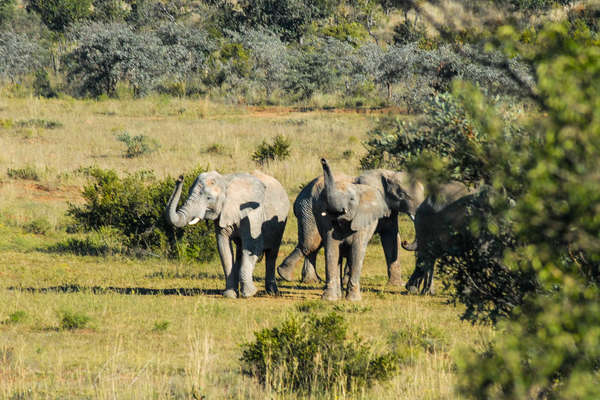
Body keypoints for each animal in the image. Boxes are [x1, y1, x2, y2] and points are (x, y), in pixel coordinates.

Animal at [165, 170, 290, 298]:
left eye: (209, 198)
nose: (180, 178)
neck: (225, 182)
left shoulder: (253, 214)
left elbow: (253, 246)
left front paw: (249, 294)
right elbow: (223, 247)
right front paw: (230, 295)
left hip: (280, 223)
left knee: (271, 254)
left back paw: (272, 292)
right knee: (240, 250)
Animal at [278, 167, 426, 286]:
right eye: (402, 195)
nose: (406, 242)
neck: (387, 173)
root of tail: (298, 197)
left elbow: (391, 239)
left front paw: (396, 285)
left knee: (316, 245)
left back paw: (312, 281)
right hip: (309, 210)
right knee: (311, 243)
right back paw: (285, 275)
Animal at [318, 158, 390, 302]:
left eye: (351, 199)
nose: (323, 160)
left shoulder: (362, 221)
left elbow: (357, 251)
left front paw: (353, 300)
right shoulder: (327, 224)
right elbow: (331, 250)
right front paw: (328, 299)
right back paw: (338, 295)